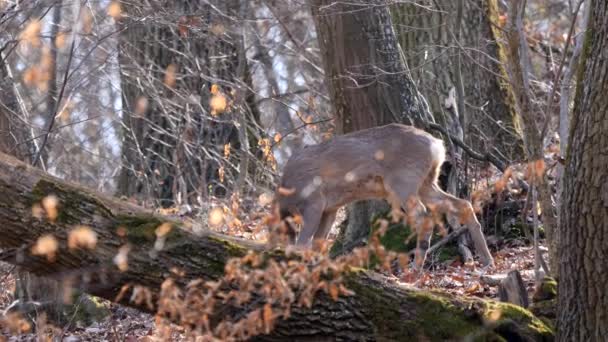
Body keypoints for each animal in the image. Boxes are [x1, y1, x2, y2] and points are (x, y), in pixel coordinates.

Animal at [276, 124, 494, 268]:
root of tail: (437, 145)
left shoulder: (314, 202)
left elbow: (303, 243)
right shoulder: (331, 208)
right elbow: (317, 244)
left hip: (403, 181)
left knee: (422, 214)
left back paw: (415, 269)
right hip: (425, 182)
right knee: (462, 204)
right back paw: (487, 260)